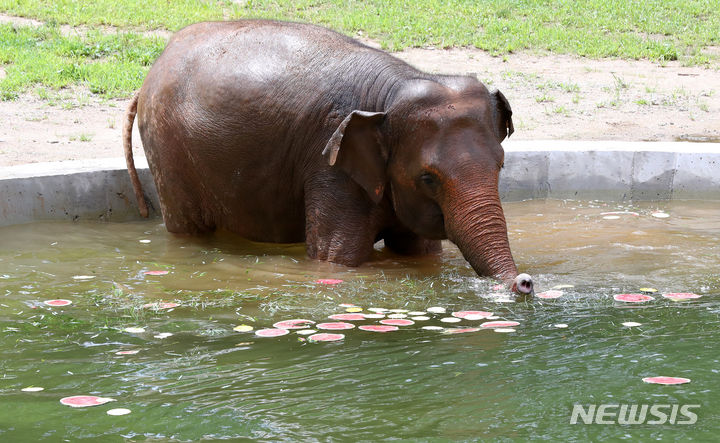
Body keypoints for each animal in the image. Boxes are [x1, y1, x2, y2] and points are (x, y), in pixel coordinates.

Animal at [125, 20, 536, 294]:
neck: (393, 92)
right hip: (167, 148)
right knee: (187, 229)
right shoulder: (330, 167)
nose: (524, 282)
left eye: (501, 165)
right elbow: (336, 258)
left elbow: (420, 251)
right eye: (428, 178)